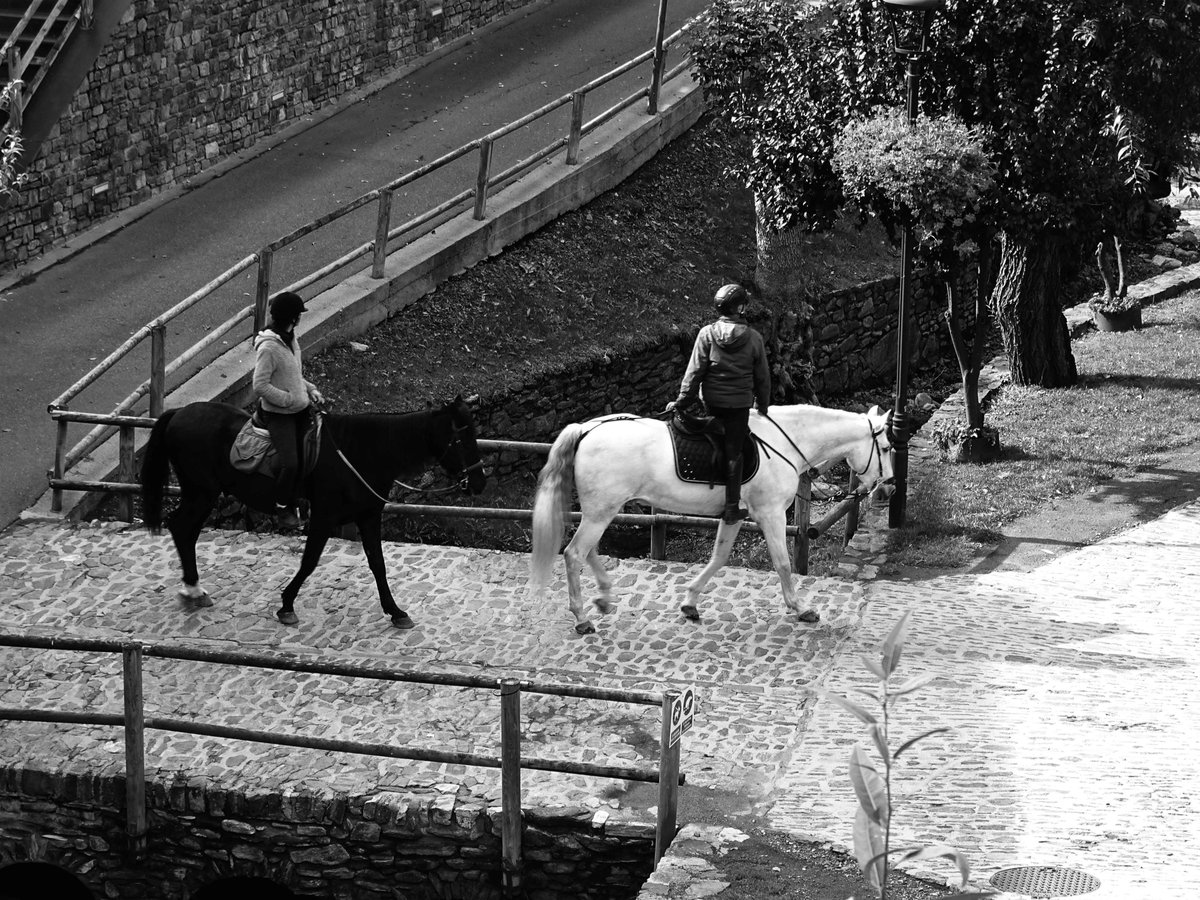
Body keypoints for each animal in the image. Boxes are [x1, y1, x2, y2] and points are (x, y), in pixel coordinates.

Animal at [142, 398, 489, 628]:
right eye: (461, 437)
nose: (479, 482)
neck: (361, 452)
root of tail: (178, 413)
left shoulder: (368, 516)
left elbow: (378, 564)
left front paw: (396, 611)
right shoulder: (323, 517)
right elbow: (309, 562)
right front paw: (286, 605)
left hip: (201, 493)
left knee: (184, 531)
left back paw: (194, 590)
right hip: (201, 492)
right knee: (181, 528)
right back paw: (192, 589)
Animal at [530, 403, 897, 633]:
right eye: (887, 448)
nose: (890, 489)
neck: (784, 443)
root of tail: (586, 430)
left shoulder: (733, 516)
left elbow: (718, 558)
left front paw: (690, 602)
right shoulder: (771, 514)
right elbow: (782, 563)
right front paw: (801, 608)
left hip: (602, 510)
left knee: (588, 551)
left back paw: (604, 597)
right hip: (602, 511)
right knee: (574, 553)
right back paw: (582, 617)